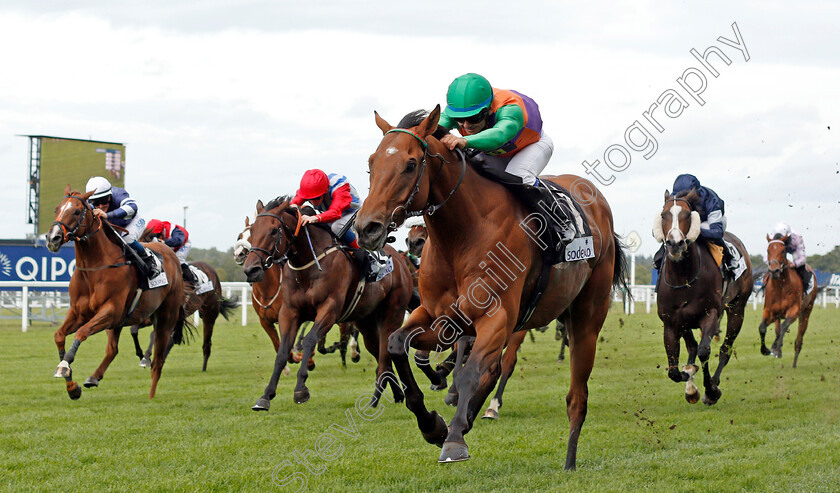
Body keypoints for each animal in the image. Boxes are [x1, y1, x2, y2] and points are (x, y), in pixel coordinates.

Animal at [45, 186, 189, 398]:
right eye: (57, 209)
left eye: (77, 211)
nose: (52, 238)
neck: (94, 268)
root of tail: (171, 255)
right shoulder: (79, 313)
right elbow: (59, 335)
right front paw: (73, 388)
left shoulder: (111, 311)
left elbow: (81, 332)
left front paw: (64, 366)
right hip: (119, 323)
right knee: (113, 350)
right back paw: (93, 378)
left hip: (165, 318)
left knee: (158, 361)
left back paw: (151, 396)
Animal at [243, 194, 414, 410]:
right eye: (252, 231)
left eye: (274, 230)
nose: (251, 269)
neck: (308, 265)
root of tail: (401, 261)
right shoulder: (289, 312)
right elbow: (283, 350)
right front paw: (265, 396)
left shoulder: (329, 309)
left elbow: (309, 341)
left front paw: (301, 389)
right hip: (365, 321)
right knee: (378, 351)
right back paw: (397, 394)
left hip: (393, 313)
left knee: (384, 354)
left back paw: (374, 400)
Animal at [352, 107, 628, 468]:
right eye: (371, 163)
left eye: (410, 164)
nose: (366, 228)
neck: (463, 233)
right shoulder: (440, 316)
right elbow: (398, 345)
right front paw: (433, 424)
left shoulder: (496, 317)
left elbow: (470, 372)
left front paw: (453, 438)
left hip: (586, 318)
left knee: (576, 393)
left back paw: (568, 458)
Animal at [652, 188, 752, 404]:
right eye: (663, 215)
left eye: (687, 215)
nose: (675, 243)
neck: (683, 276)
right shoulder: (672, 322)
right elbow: (674, 370)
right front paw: (689, 378)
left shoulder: (711, 313)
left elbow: (704, 351)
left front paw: (711, 390)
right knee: (691, 347)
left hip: (737, 308)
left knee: (724, 349)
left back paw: (713, 383)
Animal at [756, 234, 816, 366]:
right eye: (768, 251)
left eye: (783, 251)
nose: (774, 270)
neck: (781, 287)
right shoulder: (770, 311)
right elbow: (762, 327)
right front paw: (766, 350)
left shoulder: (794, 311)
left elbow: (784, 327)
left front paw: (776, 347)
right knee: (778, 330)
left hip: (806, 313)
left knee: (798, 341)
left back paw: (793, 364)